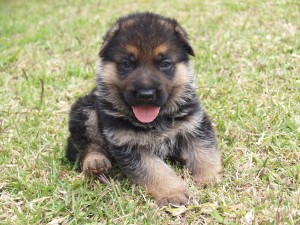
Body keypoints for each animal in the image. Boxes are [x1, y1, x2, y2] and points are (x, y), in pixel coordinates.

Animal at [67, 12, 221, 206]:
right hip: (86, 111)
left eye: (165, 63)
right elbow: (155, 171)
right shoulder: (130, 145)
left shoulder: (194, 124)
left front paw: (208, 178)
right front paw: (173, 193)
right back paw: (95, 161)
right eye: (127, 64)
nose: (146, 94)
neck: (157, 121)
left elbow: (204, 151)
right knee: (85, 145)